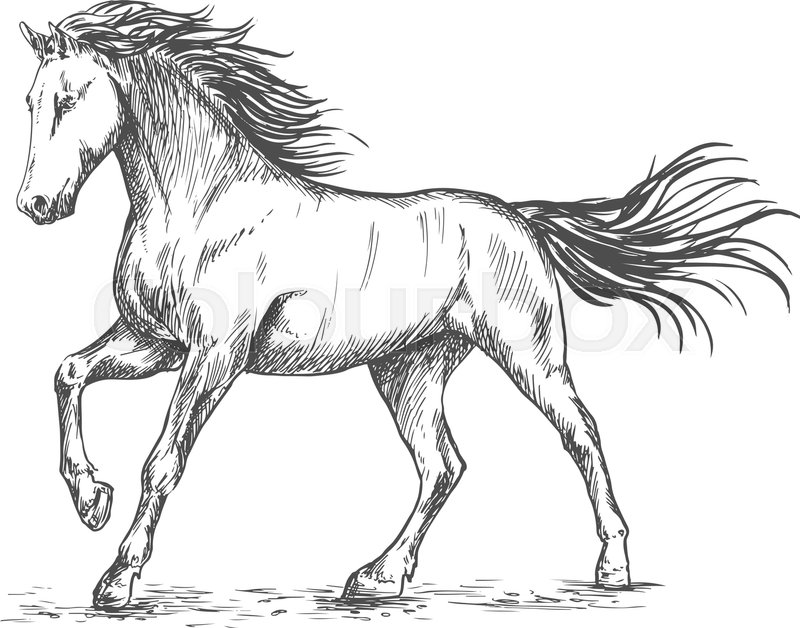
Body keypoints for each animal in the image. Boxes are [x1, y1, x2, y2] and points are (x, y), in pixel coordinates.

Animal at [17, 2, 791, 610]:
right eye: (29, 101)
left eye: (69, 98)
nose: (36, 205)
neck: (203, 206)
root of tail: (519, 218)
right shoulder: (155, 341)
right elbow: (67, 372)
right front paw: (89, 500)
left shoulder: (214, 356)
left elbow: (163, 460)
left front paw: (116, 579)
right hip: (408, 372)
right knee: (443, 465)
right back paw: (377, 576)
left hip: (528, 356)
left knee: (581, 434)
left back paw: (612, 567)